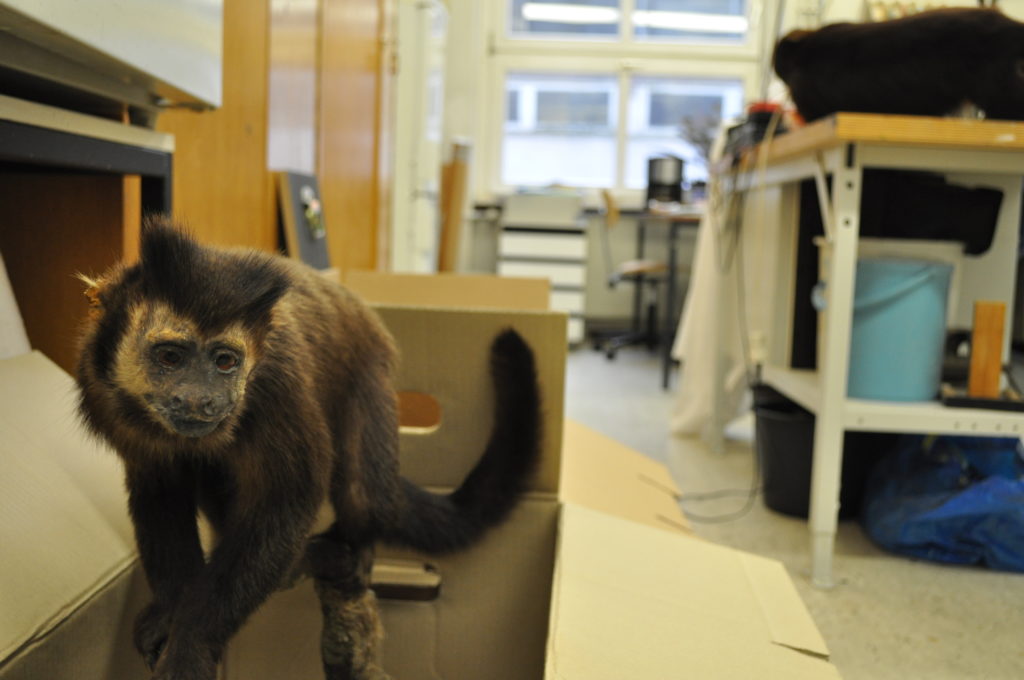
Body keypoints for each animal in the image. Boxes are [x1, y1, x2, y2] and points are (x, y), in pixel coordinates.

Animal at [74, 219, 540, 680]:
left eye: (225, 361)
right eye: (170, 356)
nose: (200, 399)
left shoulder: (277, 385)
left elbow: (287, 498)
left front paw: (192, 643)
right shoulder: (103, 393)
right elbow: (160, 490)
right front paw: (171, 613)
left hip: (372, 376)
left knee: (364, 495)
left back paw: (344, 552)